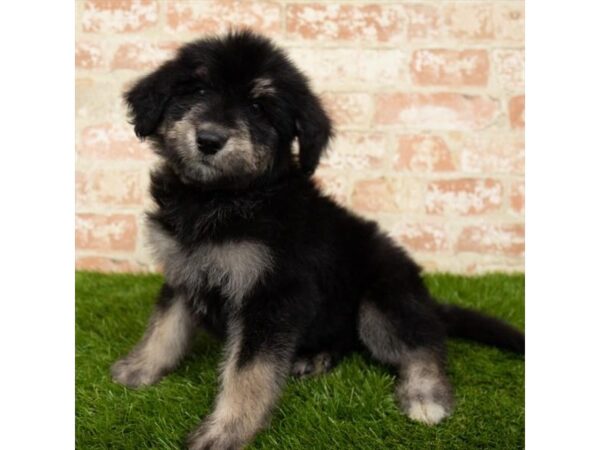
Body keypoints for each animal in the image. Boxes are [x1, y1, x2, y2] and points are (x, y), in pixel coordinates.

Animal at [112, 30, 524, 450]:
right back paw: (317, 357)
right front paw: (139, 368)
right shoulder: (184, 270)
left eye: (258, 107)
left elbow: (248, 370)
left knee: (424, 345)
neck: (221, 197)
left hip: (382, 301)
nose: (210, 139)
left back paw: (426, 395)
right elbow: (164, 327)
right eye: (196, 89)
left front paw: (227, 429)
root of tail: (422, 296)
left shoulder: (271, 294)